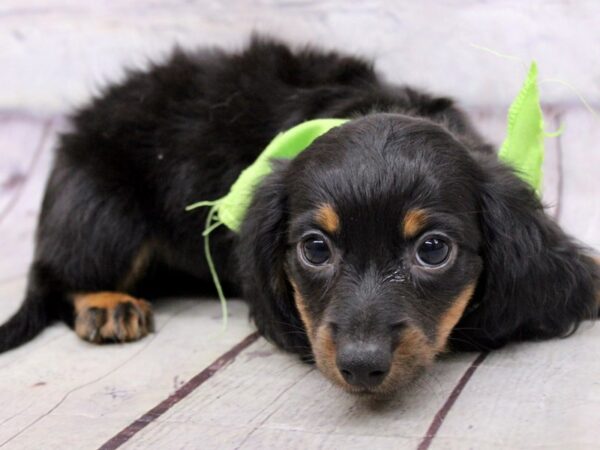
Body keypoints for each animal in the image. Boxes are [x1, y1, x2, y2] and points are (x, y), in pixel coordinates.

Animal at [1, 37, 600, 398]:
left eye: (433, 249)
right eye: (315, 248)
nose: (361, 366)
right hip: (104, 217)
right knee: (57, 280)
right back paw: (107, 304)